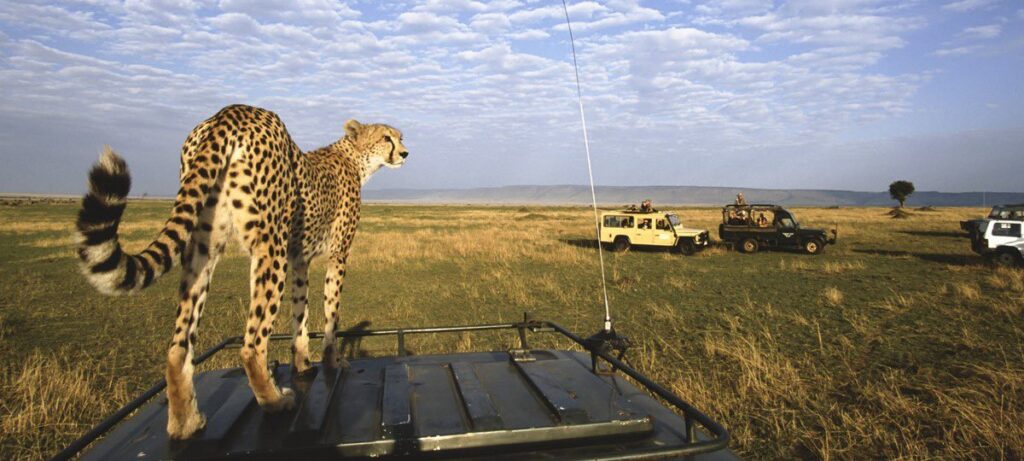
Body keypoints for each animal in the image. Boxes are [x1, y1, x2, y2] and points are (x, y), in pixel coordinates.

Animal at [75, 104, 408, 439]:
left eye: (400, 137)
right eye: (386, 137)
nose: (405, 152)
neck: (354, 158)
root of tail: (231, 112)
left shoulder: (299, 259)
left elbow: (300, 314)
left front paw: (302, 363)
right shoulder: (336, 255)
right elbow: (330, 314)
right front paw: (333, 361)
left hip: (203, 247)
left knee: (178, 347)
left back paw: (185, 422)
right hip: (270, 246)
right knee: (251, 345)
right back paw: (274, 401)